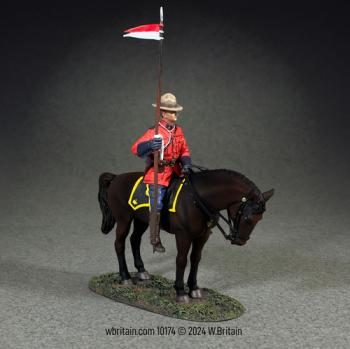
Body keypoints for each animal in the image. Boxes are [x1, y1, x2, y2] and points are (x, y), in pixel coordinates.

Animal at [98, 169, 274, 302]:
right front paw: (181, 291)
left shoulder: (203, 236)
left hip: (142, 220)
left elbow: (195, 259)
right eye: (247, 218)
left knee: (135, 240)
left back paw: (142, 271)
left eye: (259, 219)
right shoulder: (183, 235)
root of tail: (116, 178)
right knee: (119, 244)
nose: (240, 241)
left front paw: (194, 288)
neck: (198, 200)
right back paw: (125, 277)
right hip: (124, 220)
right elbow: (181, 260)